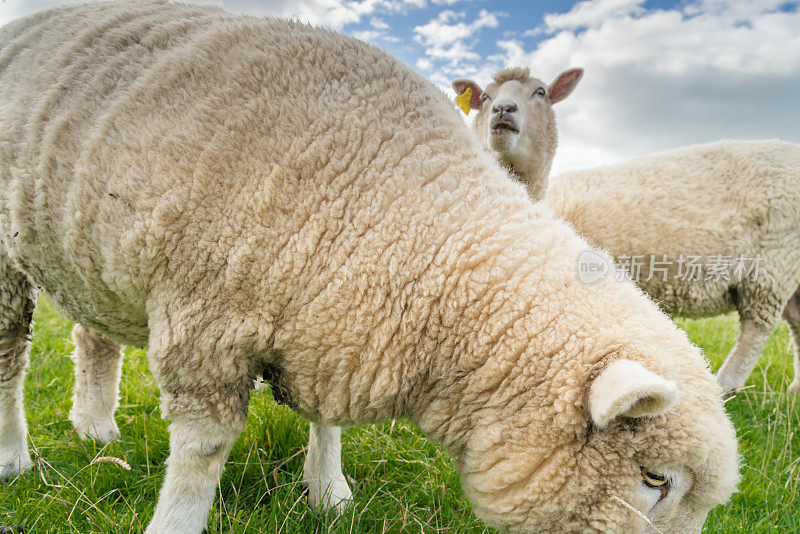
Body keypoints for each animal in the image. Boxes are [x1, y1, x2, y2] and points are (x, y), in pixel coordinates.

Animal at [1, 2, 736, 532]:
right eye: (655, 480)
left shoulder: (335, 316)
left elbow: (325, 420)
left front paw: (328, 492)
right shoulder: (205, 321)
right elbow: (202, 453)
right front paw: (176, 524)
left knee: (93, 334)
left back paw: (96, 427)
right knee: (12, 352)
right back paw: (14, 457)